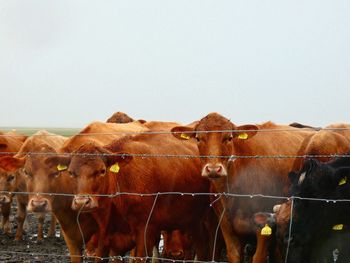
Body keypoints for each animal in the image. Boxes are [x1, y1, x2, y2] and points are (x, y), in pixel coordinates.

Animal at [172, 113, 314, 263]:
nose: (213, 169)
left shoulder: (265, 226)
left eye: (229, 138)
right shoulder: (227, 227)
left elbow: (258, 257)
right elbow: (234, 254)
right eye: (198, 138)